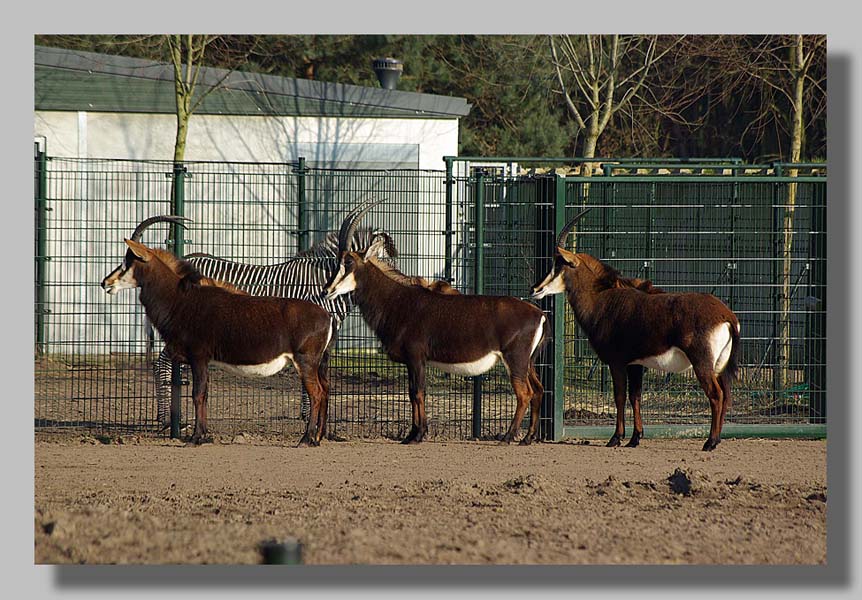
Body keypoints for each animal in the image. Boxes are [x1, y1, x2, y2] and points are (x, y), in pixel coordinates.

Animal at [102, 217, 338, 446]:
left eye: (127, 262)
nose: (105, 282)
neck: (181, 300)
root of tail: (327, 316)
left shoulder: (198, 356)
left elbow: (197, 394)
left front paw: (195, 438)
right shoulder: (203, 361)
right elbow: (204, 394)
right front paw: (205, 435)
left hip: (305, 361)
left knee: (316, 393)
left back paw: (306, 439)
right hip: (319, 364)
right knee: (326, 389)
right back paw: (318, 438)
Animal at [324, 200, 552, 446]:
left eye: (348, 262)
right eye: (336, 262)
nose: (327, 290)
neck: (397, 299)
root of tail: (540, 314)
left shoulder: (416, 357)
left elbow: (417, 392)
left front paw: (418, 435)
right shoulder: (412, 361)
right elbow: (412, 393)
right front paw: (412, 434)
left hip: (515, 360)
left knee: (524, 393)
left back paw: (508, 437)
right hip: (529, 362)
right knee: (538, 390)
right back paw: (527, 438)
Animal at [532, 210, 744, 450]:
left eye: (560, 265)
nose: (536, 289)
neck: (602, 298)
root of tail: (727, 316)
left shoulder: (616, 362)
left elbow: (619, 397)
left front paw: (615, 438)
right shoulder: (635, 364)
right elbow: (636, 397)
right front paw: (635, 438)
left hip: (702, 363)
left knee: (716, 395)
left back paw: (709, 442)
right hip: (720, 367)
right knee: (726, 395)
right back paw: (716, 439)